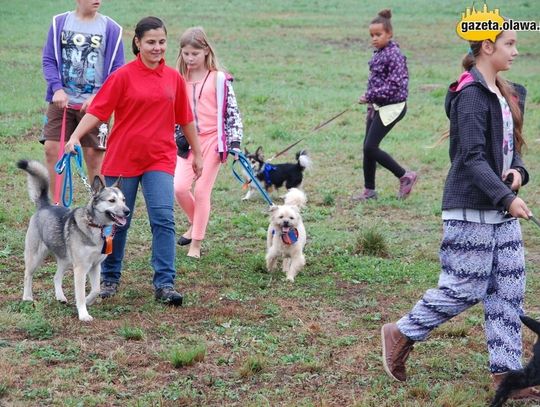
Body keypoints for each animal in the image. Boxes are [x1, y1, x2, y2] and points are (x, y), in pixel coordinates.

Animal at [17, 159, 130, 322]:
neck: (95, 226)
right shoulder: (81, 268)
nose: (127, 211)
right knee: (28, 275)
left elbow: (96, 289)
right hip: (35, 257)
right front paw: (83, 314)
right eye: (112, 200)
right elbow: (80, 294)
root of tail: (44, 205)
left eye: (124, 200)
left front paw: (89, 300)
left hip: (65, 260)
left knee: (56, 277)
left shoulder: (95, 266)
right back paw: (27, 297)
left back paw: (60, 297)